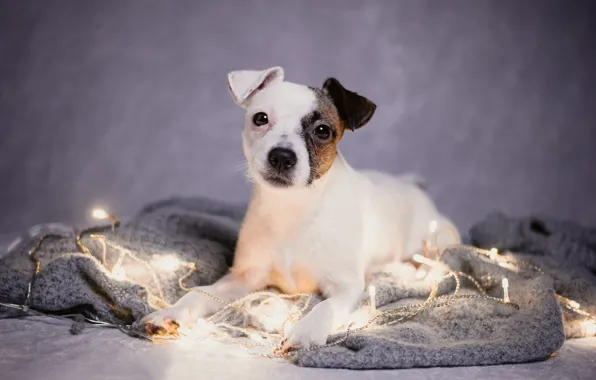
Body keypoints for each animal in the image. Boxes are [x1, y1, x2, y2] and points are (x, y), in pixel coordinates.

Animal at [142, 65, 458, 350]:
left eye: (322, 131)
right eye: (260, 118)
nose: (282, 156)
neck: (294, 208)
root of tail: (410, 185)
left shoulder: (346, 287)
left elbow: (325, 307)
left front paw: (306, 331)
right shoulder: (242, 278)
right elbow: (200, 293)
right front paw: (172, 312)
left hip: (436, 240)